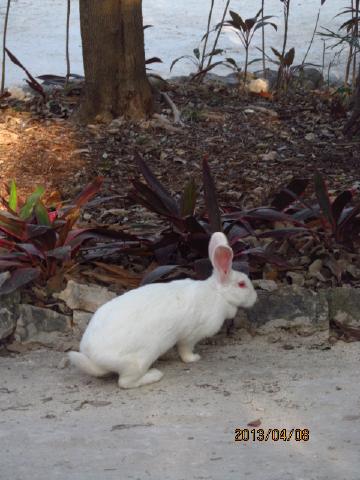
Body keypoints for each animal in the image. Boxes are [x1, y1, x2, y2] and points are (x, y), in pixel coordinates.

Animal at [69, 231, 258, 388]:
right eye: (242, 284)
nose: (255, 298)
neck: (217, 294)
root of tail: (93, 357)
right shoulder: (190, 336)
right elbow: (185, 350)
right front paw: (194, 359)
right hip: (141, 359)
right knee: (125, 382)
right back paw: (154, 375)